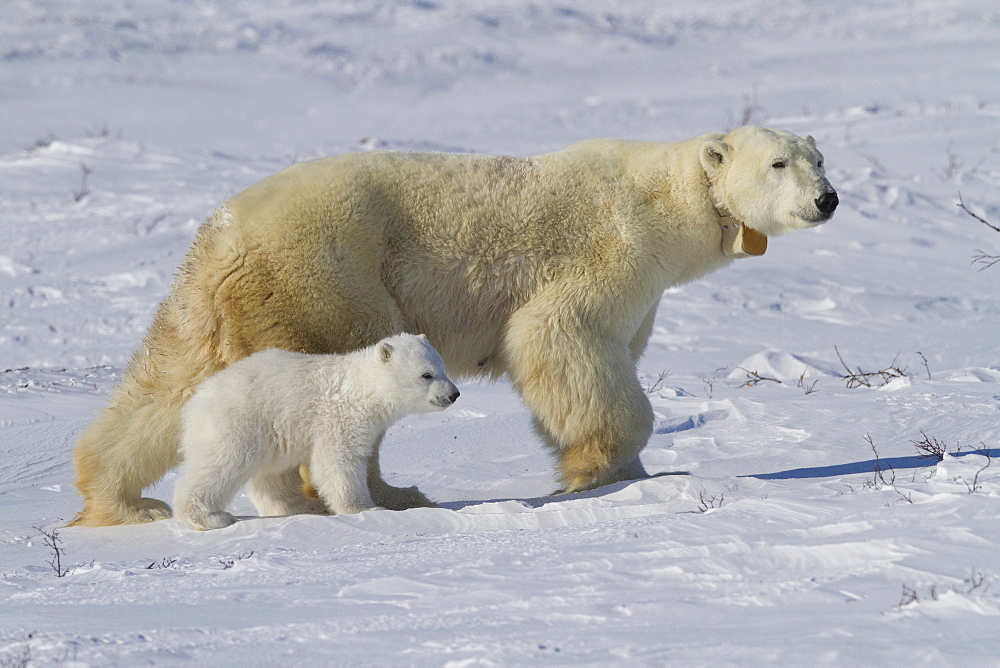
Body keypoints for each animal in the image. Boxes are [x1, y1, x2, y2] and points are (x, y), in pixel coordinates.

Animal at [68, 125, 836, 528]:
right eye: (780, 162)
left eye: (821, 157)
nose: (828, 199)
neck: (665, 201)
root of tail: (224, 233)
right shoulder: (610, 253)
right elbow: (563, 338)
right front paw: (592, 471)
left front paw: (635, 475)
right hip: (328, 275)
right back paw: (379, 496)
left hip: (214, 300)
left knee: (166, 386)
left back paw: (121, 500)